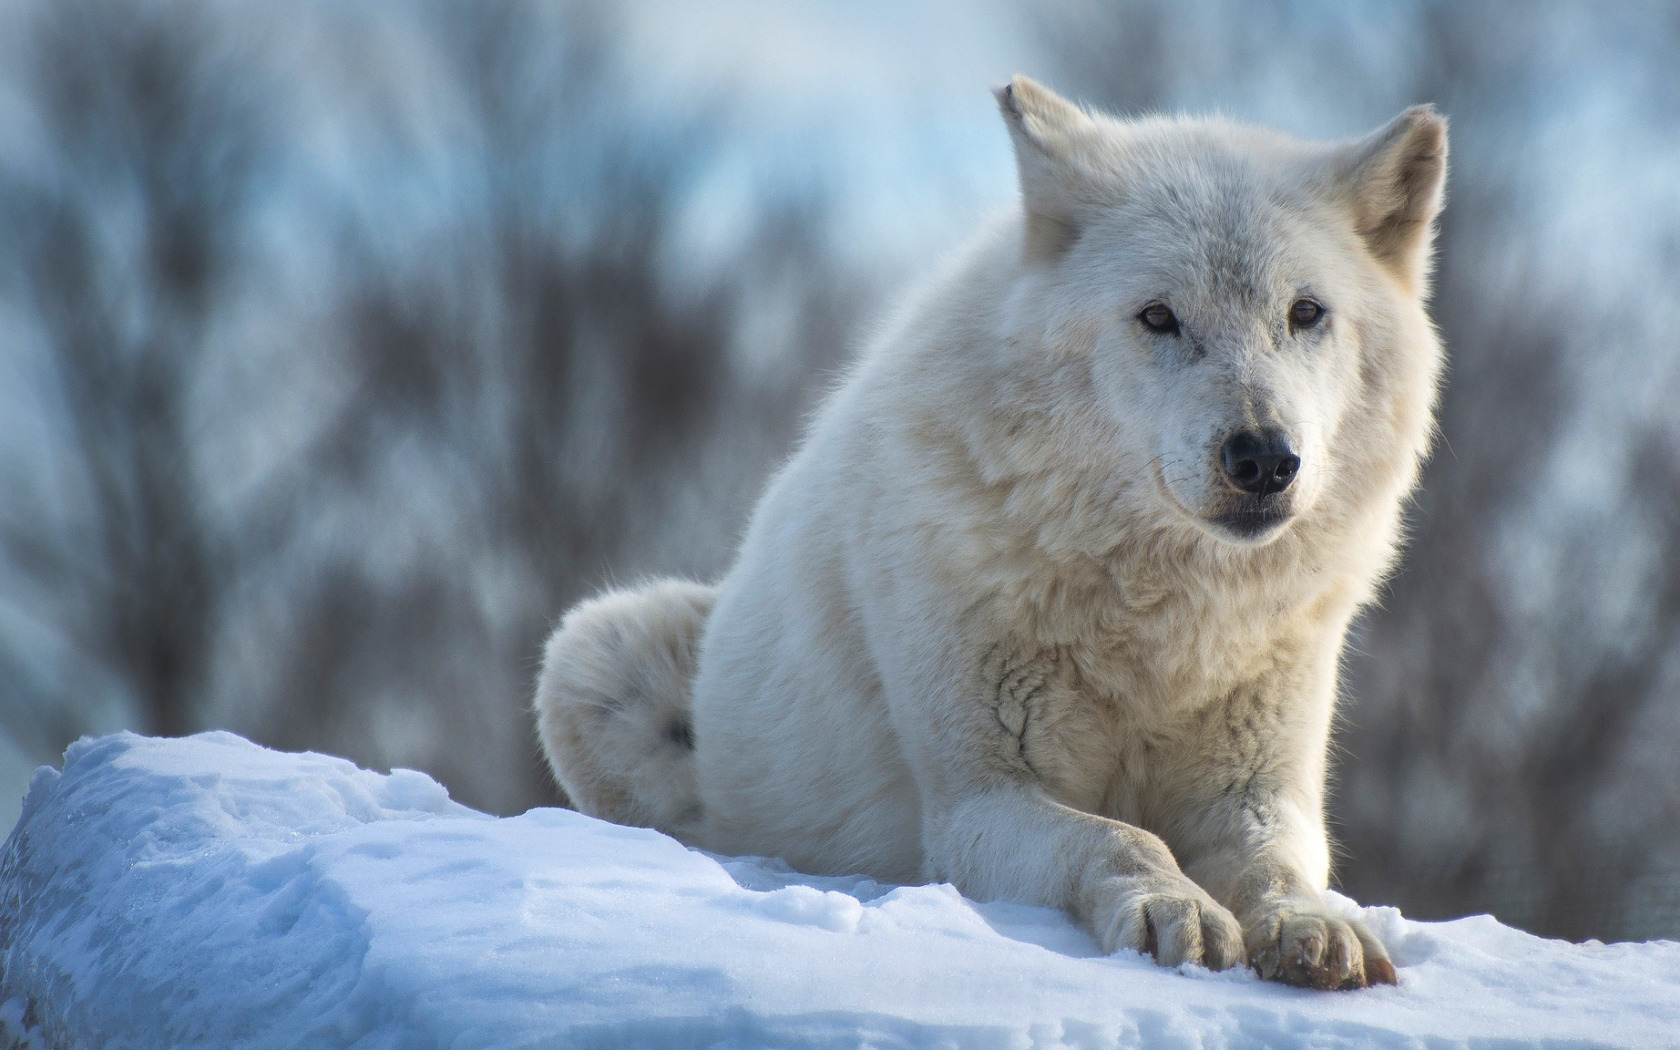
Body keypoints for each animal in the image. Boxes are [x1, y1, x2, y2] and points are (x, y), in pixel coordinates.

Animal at [534, 77, 1444, 987]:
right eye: (1158, 316)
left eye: (1305, 312)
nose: (1263, 457)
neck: (1162, 627)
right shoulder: (980, 803)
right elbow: (1123, 839)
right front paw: (1173, 908)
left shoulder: (1256, 795)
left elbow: (1276, 869)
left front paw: (1314, 927)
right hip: (594, 648)